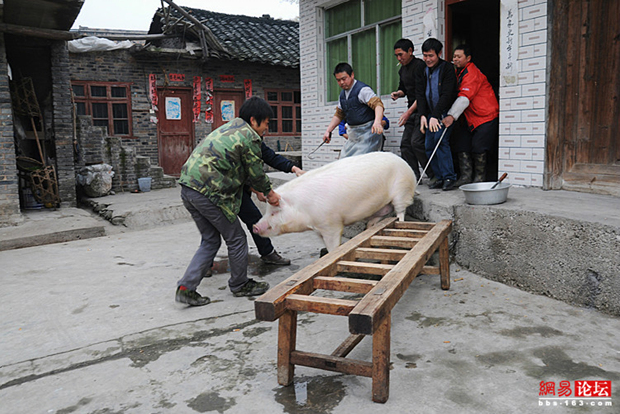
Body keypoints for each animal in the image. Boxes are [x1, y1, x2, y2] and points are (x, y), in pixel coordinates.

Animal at [253, 151, 416, 252]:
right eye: (267, 211)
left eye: (274, 212)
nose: (255, 226)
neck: (304, 210)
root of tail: (405, 163)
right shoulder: (319, 227)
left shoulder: (331, 223)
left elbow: (333, 245)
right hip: (381, 206)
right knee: (376, 218)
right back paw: (367, 229)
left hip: (402, 190)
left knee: (400, 212)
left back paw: (400, 223)